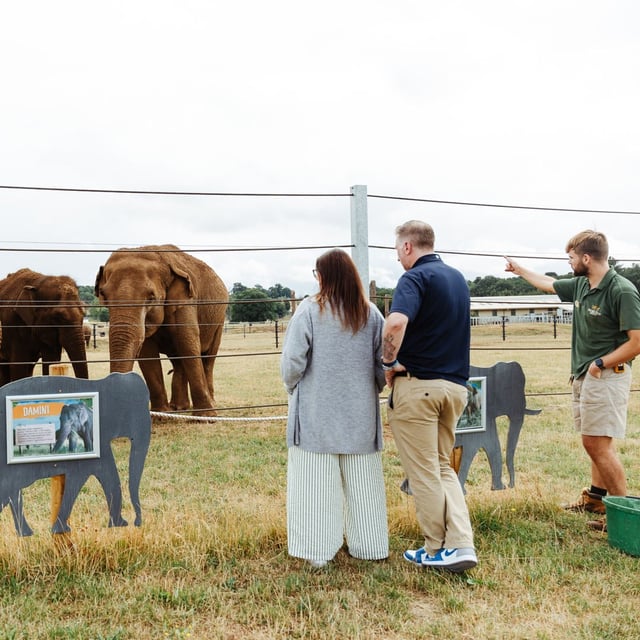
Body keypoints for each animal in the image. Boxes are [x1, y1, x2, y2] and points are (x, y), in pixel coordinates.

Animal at [95, 245, 229, 416]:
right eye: (103, 295)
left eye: (151, 297)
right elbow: (147, 353)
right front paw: (162, 415)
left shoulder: (186, 301)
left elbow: (188, 345)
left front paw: (206, 417)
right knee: (178, 360)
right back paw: (178, 408)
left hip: (219, 319)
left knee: (208, 359)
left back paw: (209, 404)